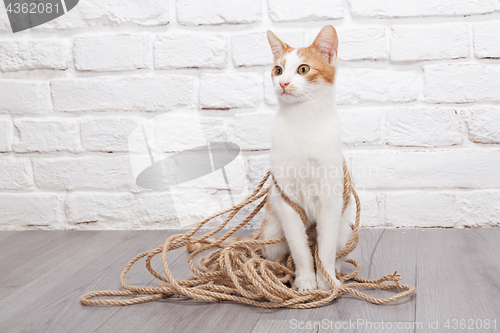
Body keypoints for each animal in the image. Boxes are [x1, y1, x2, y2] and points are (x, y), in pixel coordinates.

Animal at [188, 26, 352, 290]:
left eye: (303, 69)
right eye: (278, 70)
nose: (283, 82)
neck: (304, 121)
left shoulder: (331, 199)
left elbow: (325, 248)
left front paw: (326, 281)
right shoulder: (286, 201)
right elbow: (299, 248)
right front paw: (306, 279)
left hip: (344, 228)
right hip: (272, 231)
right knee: (277, 252)